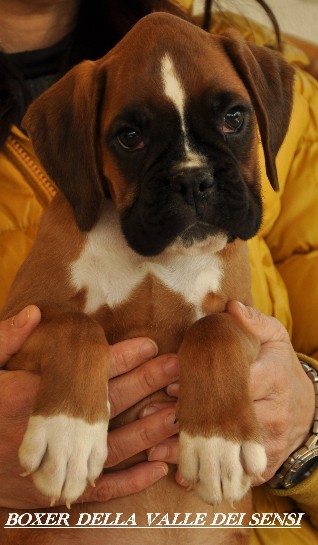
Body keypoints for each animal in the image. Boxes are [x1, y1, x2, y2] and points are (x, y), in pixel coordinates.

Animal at [0, 12, 294, 544]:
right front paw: (68, 434)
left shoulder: (247, 318)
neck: (157, 259)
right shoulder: (19, 324)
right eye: (130, 138)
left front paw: (218, 443)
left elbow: (213, 329)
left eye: (234, 118)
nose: (192, 178)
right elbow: (76, 327)